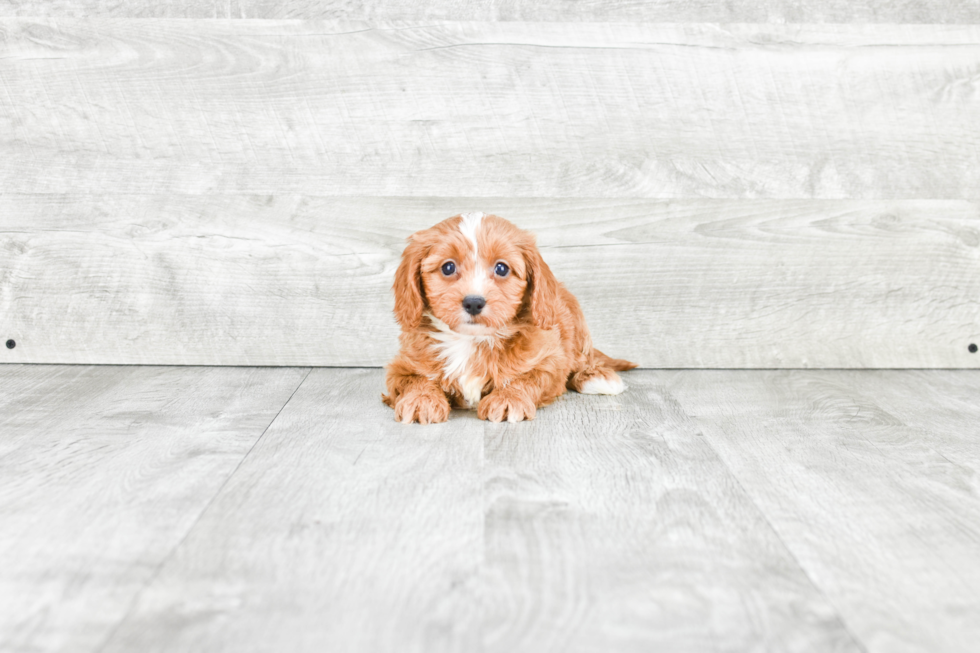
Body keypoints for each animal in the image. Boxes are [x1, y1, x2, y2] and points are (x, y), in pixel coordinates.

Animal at [378, 210, 640, 422]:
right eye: (448, 267)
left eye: (502, 268)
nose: (474, 302)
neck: (471, 340)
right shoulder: (401, 365)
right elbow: (414, 379)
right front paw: (421, 399)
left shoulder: (549, 360)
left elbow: (527, 378)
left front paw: (508, 398)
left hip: (576, 320)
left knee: (584, 358)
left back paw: (596, 376)